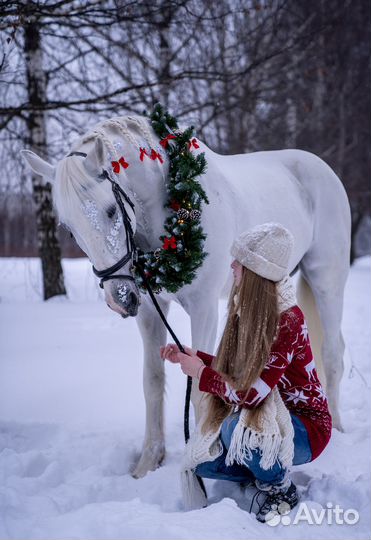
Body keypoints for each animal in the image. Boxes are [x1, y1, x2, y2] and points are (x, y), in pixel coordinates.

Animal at [21, 114, 354, 476]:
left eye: (111, 210)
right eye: (68, 228)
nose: (119, 298)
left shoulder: (204, 308)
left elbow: (198, 388)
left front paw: (200, 457)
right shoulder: (150, 312)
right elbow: (152, 383)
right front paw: (148, 462)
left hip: (327, 280)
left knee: (332, 353)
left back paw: (337, 428)